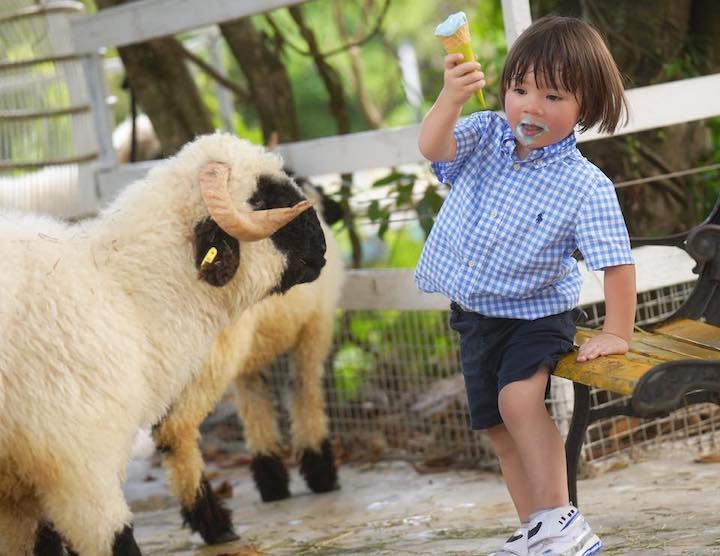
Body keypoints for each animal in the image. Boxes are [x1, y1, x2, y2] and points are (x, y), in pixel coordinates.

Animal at [0, 135, 326, 556]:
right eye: (262, 198)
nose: (322, 245)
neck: (131, 301)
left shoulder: (16, 499)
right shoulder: (80, 467)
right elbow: (117, 541)